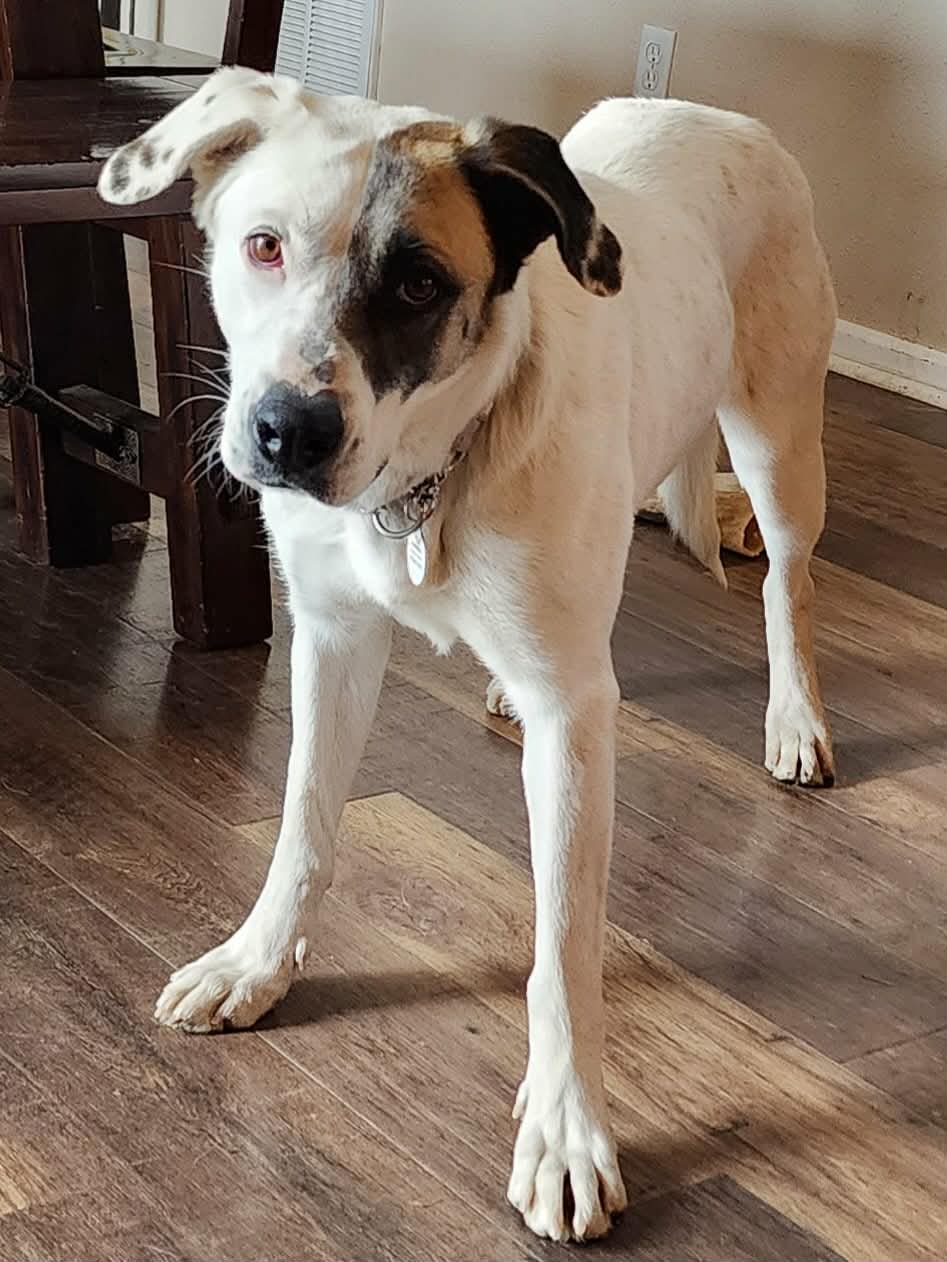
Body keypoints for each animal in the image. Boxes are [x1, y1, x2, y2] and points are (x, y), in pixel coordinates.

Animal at [99, 66, 836, 1242]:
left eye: (418, 285)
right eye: (262, 246)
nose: (286, 433)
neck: (424, 479)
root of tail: (719, 116)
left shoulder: (572, 725)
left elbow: (564, 943)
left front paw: (569, 1126)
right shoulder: (332, 640)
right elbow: (301, 825)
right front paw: (256, 962)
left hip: (776, 436)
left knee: (785, 580)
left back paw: (794, 719)